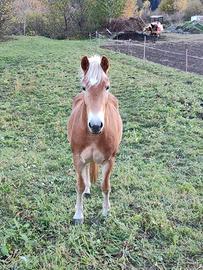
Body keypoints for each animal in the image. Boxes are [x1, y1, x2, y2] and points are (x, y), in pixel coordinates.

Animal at [68, 54, 122, 224]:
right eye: (84, 87)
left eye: (107, 87)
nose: (96, 125)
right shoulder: (77, 158)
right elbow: (79, 185)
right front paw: (78, 215)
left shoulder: (109, 160)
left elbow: (105, 186)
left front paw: (105, 212)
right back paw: (87, 190)